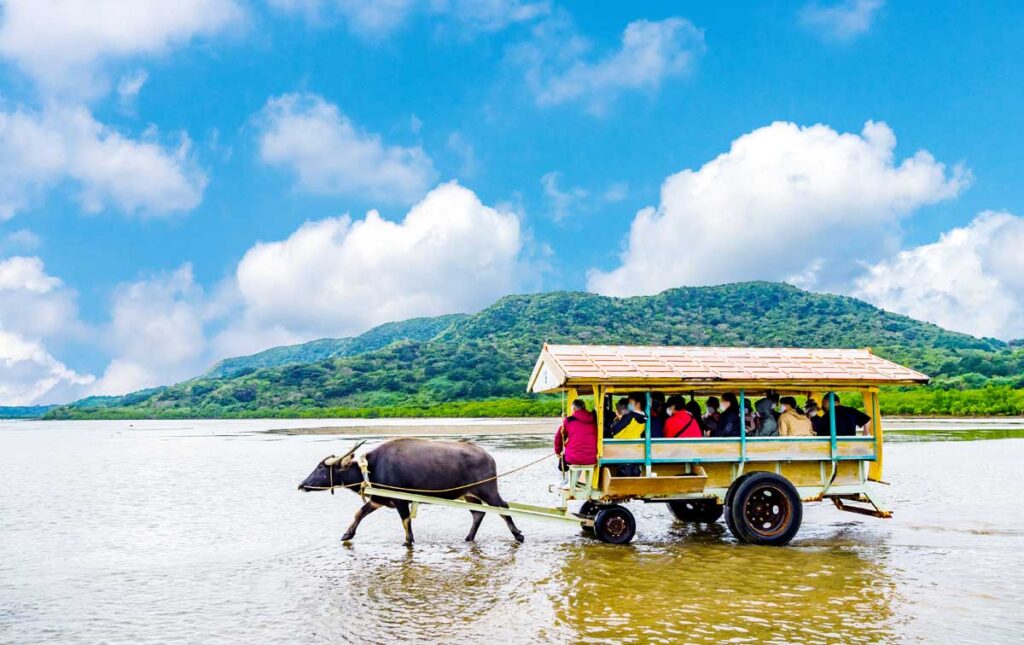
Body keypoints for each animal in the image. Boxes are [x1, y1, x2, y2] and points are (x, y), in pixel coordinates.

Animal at [294, 438, 520, 548]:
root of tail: (487, 456)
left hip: (488, 490)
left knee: (503, 508)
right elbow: (360, 513)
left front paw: (408, 541)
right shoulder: (379, 499)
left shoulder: (401, 500)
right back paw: (468, 538)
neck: (372, 468)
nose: (302, 484)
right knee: (478, 513)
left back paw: (518, 535)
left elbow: (405, 521)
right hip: (469, 495)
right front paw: (347, 534)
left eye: (321, 468)